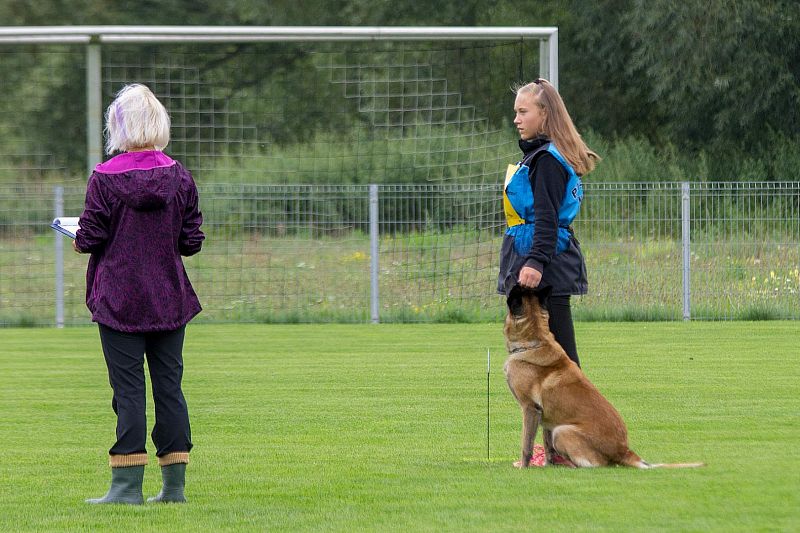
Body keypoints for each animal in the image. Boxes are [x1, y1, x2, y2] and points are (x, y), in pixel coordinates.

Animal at [504, 284, 704, 468]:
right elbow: (547, 448)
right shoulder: (546, 418)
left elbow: (526, 445)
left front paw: (524, 467)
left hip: (562, 431)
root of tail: (625, 451)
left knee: (596, 464)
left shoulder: (530, 408)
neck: (534, 342)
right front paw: (548, 465)